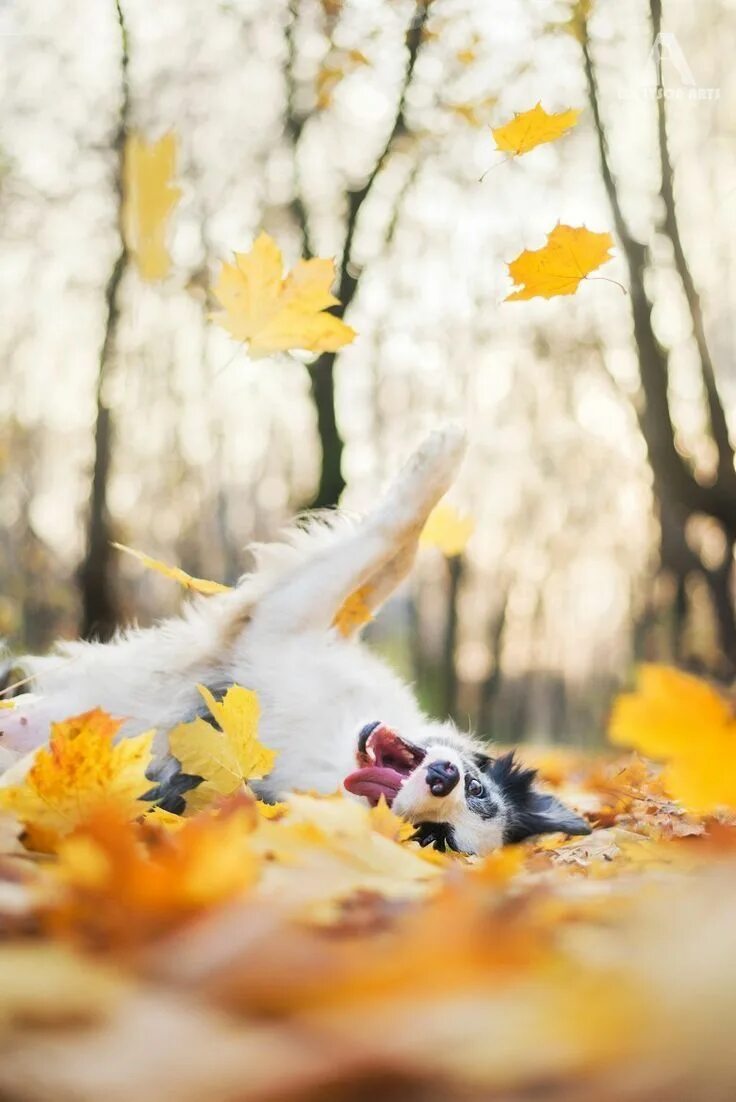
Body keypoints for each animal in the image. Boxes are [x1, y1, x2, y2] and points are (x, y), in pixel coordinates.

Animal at [0, 427, 590, 850]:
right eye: (476, 789)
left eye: (431, 837)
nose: (443, 777)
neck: (334, 736)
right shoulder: (294, 624)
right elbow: (389, 555)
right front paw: (441, 455)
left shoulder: (280, 617)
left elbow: (382, 541)